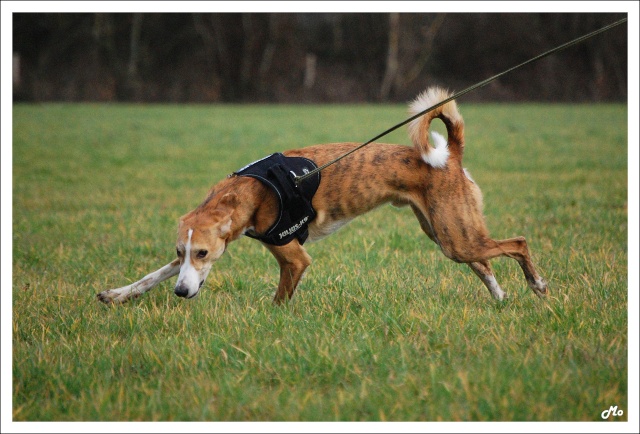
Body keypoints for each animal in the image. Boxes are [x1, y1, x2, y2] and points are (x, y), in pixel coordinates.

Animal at [97, 87, 548, 306]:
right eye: (183, 251)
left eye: (204, 254)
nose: (182, 295)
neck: (252, 190)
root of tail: (450, 156)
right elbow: (152, 275)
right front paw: (117, 294)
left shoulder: (294, 258)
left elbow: (279, 301)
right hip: (446, 234)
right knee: (485, 264)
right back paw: (500, 297)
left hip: (455, 235)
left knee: (518, 242)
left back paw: (537, 284)